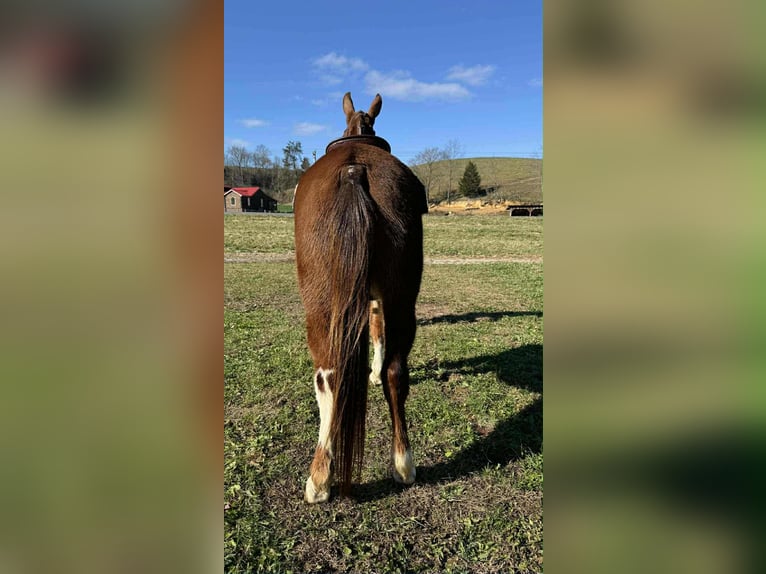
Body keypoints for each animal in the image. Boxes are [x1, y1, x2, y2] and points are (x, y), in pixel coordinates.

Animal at [294, 92, 428, 503]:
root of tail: (355, 171)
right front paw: (372, 372)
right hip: (399, 297)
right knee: (396, 372)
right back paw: (403, 465)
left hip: (325, 304)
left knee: (330, 377)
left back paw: (321, 478)